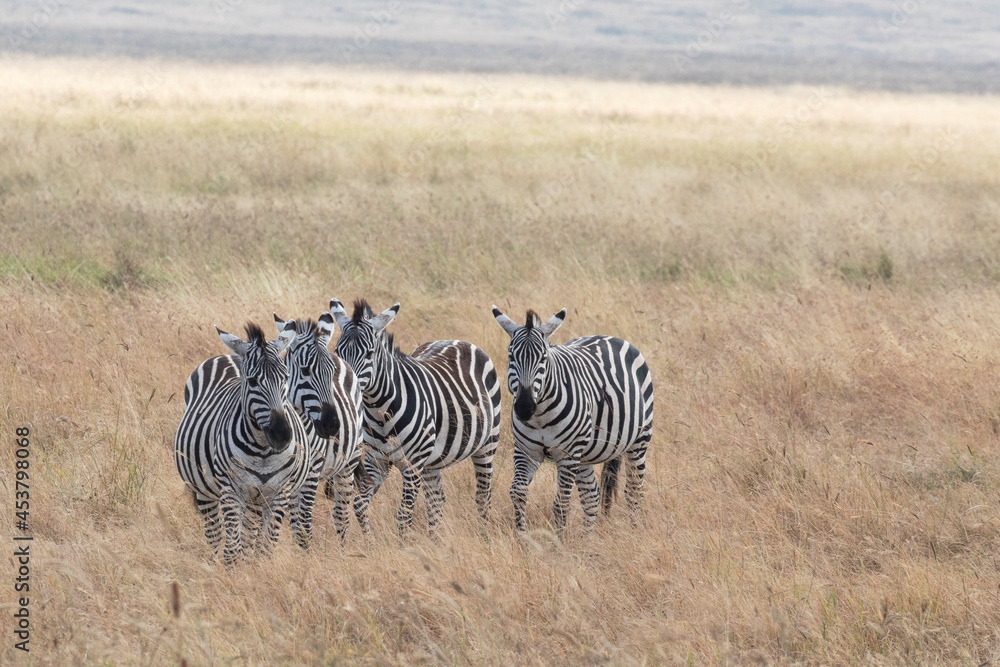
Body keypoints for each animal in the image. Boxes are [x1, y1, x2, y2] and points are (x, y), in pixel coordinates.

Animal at [174, 321, 312, 565]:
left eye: (285, 378)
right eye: (253, 381)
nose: (282, 434)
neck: (263, 451)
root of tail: (228, 355)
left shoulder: (280, 493)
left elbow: (266, 546)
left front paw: (261, 570)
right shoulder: (231, 490)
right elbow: (232, 548)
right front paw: (232, 571)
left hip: (256, 498)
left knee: (249, 535)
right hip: (205, 489)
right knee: (214, 533)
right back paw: (214, 564)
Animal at [273, 312, 364, 546]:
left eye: (331, 373)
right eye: (305, 370)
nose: (332, 424)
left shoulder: (312, 471)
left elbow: (304, 524)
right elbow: (295, 524)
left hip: (349, 462)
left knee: (341, 515)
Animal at [328, 298, 502, 537]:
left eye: (369, 354)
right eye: (337, 351)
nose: (344, 387)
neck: (380, 412)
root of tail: (459, 341)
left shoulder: (412, 466)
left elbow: (403, 516)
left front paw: (404, 546)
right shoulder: (377, 461)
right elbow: (359, 504)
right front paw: (369, 542)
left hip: (487, 443)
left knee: (483, 495)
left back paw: (483, 536)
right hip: (432, 461)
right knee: (437, 500)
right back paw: (435, 541)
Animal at [491, 306, 654, 532]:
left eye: (543, 358)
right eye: (511, 356)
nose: (524, 408)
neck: (540, 416)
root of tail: (608, 336)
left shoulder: (567, 455)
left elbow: (561, 503)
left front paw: (560, 541)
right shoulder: (526, 451)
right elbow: (518, 492)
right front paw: (521, 536)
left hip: (639, 441)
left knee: (634, 491)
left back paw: (635, 530)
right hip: (584, 455)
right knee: (591, 496)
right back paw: (587, 539)